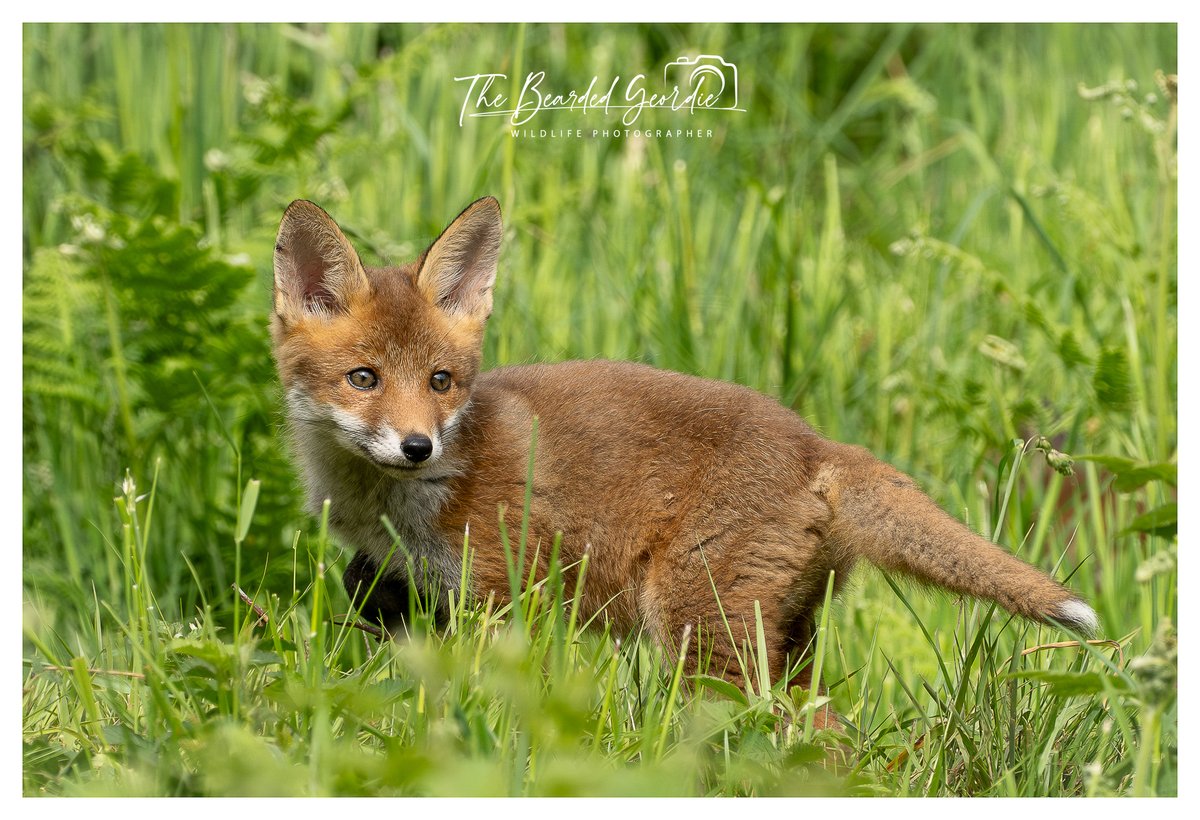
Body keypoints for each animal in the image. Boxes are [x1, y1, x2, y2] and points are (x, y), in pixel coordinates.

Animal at [270, 196, 1098, 724]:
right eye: (364, 379)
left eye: (441, 381)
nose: (417, 446)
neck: (405, 505)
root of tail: (818, 443)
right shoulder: (406, 594)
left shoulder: (503, 602)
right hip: (784, 644)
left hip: (701, 635)